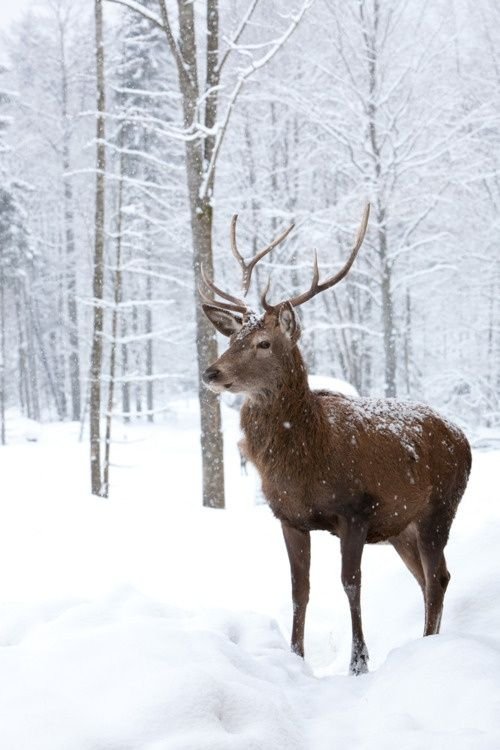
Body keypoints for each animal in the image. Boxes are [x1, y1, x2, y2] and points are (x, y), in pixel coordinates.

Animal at [200, 209, 472, 680]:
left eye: (264, 342)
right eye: (231, 339)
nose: (212, 373)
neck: (306, 459)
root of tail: (465, 439)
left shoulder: (356, 509)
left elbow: (350, 583)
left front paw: (359, 662)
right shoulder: (288, 517)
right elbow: (299, 589)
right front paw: (295, 656)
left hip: (440, 508)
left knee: (438, 577)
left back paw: (426, 647)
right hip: (403, 527)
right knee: (427, 578)